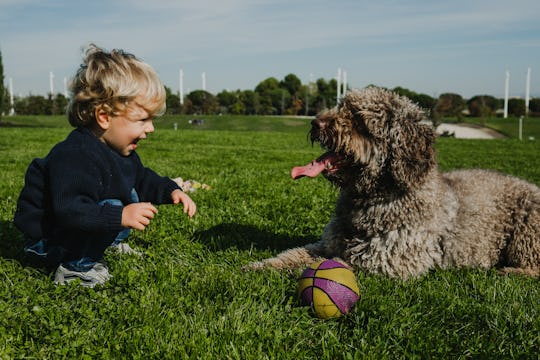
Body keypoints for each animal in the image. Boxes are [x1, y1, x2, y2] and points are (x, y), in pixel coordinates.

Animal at [248, 87, 540, 278]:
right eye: (341, 106)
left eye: (359, 119)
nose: (315, 122)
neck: (372, 200)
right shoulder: (328, 243)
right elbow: (295, 254)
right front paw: (261, 266)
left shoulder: (386, 260)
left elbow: (322, 265)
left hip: (528, 234)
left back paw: (513, 272)